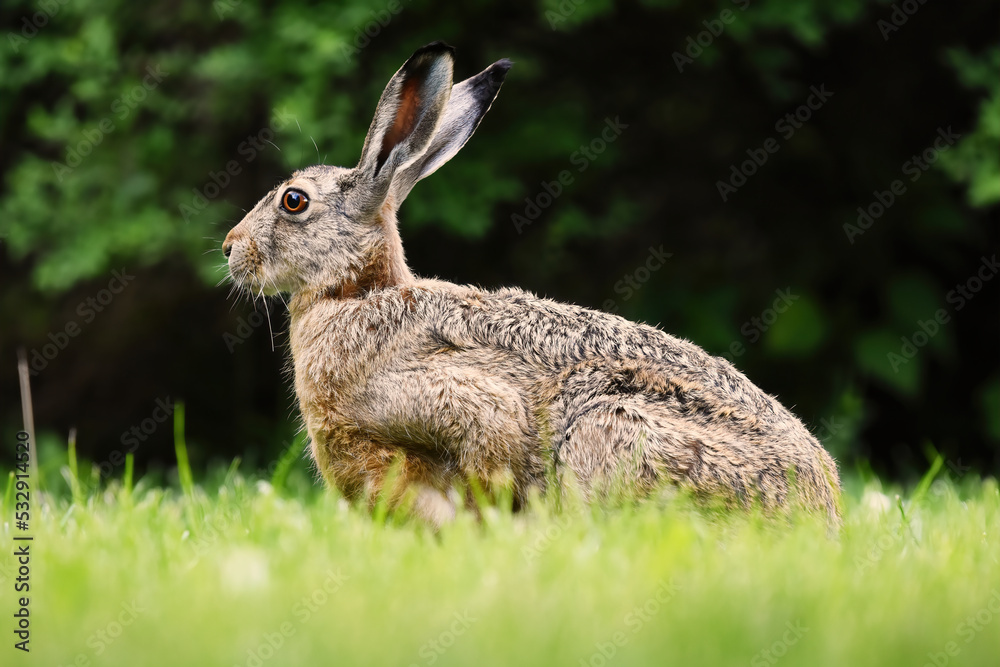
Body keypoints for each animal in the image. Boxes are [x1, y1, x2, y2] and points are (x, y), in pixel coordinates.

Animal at [223, 42, 842, 526]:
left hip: (606, 426)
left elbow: (489, 457)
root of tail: (821, 511)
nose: (231, 248)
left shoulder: (463, 403)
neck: (357, 293)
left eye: (294, 201)